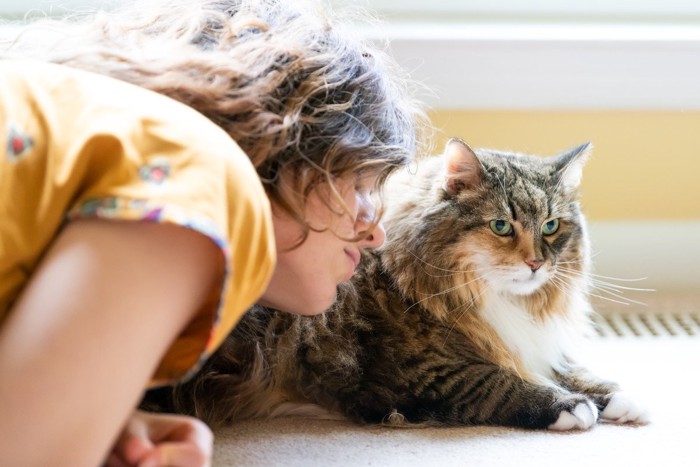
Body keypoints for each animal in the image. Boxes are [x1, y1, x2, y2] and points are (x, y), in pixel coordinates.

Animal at [144, 139, 652, 432]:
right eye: (501, 226)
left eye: (550, 227)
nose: (535, 263)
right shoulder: (430, 372)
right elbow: (503, 382)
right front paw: (571, 406)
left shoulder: (523, 343)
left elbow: (568, 366)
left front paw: (616, 396)